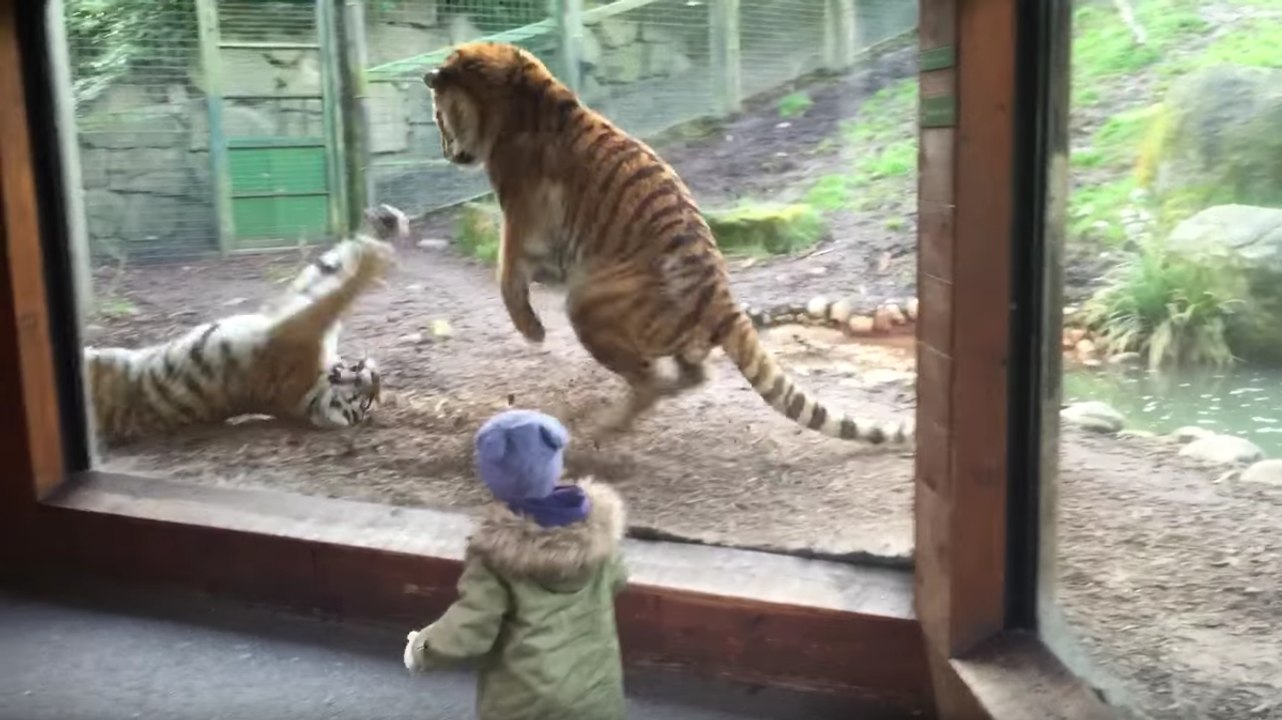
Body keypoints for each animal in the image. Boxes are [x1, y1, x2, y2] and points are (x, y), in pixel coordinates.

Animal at [85, 204, 406, 447]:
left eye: (362, 402)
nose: (374, 377)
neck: (312, 390)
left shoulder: (294, 325)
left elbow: (341, 290)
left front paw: (376, 254)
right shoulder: (300, 318)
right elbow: (332, 274)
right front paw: (386, 227)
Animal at [424, 42, 913, 445]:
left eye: (440, 117)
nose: (445, 151)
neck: (521, 89)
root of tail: (723, 299)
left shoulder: (522, 218)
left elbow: (507, 272)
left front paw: (531, 329)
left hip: (588, 302)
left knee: (648, 382)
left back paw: (601, 429)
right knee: (691, 375)